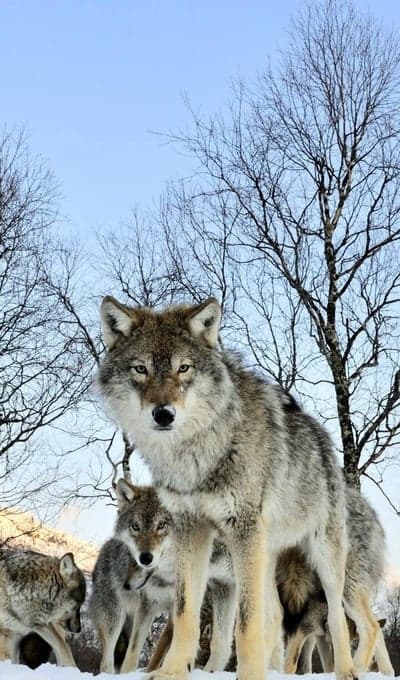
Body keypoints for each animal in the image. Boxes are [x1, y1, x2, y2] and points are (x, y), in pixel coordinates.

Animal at [98, 295, 357, 680]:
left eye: (184, 368)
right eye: (140, 369)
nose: (164, 414)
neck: (197, 454)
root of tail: (320, 434)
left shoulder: (242, 530)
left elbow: (245, 623)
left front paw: (249, 676)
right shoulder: (191, 529)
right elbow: (186, 613)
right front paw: (171, 671)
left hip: (321, 555)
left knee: (336, 616)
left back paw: (347, 671)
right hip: (264, 555)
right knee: (275, 615)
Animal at [277, 488, 394, 676]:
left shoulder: (302, 626)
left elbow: (290, 663)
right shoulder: (313, 632)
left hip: (347, 595)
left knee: (372, 628)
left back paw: (358, 669)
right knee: (376, 629)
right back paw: (383, 671)